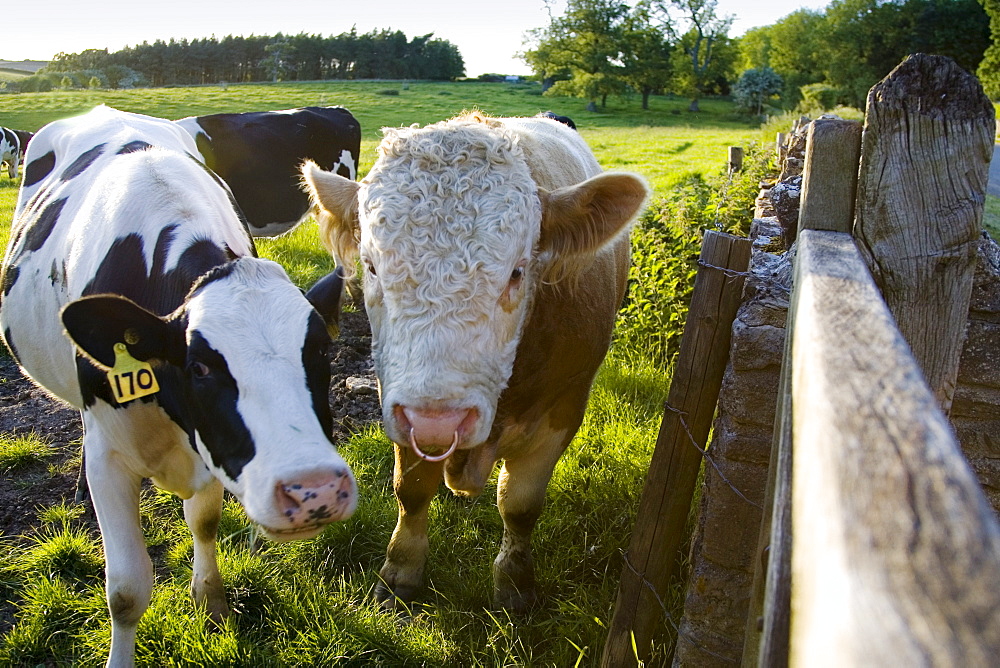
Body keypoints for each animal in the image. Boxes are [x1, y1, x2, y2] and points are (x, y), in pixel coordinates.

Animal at [302, 113, 648, 612]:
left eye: (518, 272)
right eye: (371, 267)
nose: (440, 420)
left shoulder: (565, 406)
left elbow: (519, 503)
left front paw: (515, 585)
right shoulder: (400, 401)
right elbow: (411, 490)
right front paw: (401, 572)